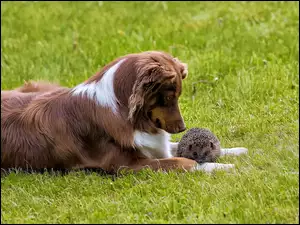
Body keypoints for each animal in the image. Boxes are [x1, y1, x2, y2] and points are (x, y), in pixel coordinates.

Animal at [0, 51, 234, 174]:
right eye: (169, 97)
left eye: (178, 95)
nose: (182, 128)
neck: (126, 113)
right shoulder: (125, 165)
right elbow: (185, 162)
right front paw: (226, 167)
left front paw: (234, 153)